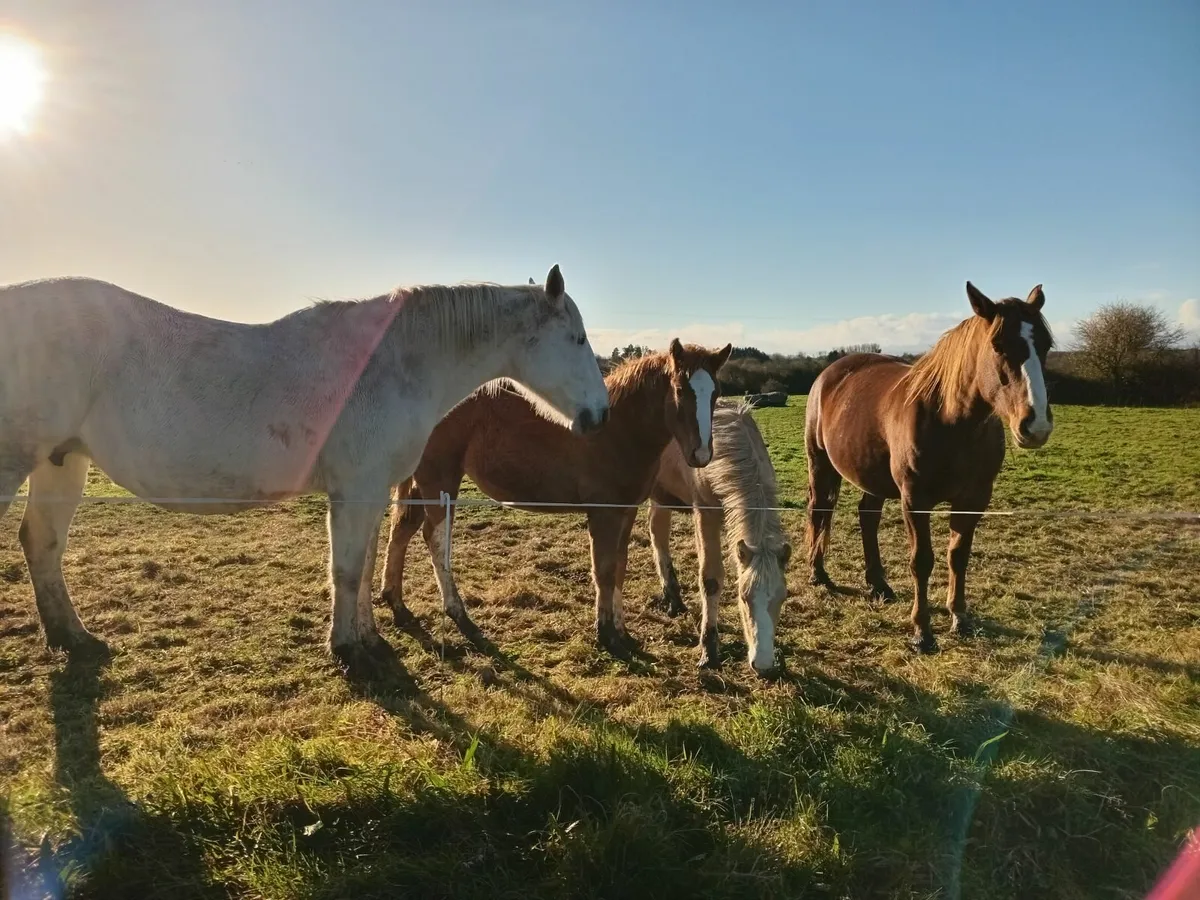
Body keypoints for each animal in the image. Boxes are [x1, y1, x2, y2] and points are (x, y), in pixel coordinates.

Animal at [0, 265, 610, 673]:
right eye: (577, 337)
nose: (599, 415)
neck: (391, 362)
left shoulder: (371, 490)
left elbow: (363, 564)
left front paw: (369, 639)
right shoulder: (355, 488)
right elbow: (346, 569)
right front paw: (346, 650)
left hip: (61, 463)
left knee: (43, 544)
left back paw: (73, 638)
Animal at [379, 340, 733, 657]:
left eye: (715, 393)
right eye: (680, 390)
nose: (701, 455)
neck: (618, 430)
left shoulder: (626, 509)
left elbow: (620, 566)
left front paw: (622, 632)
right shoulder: (603, 512)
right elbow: (604, 570)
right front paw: (607, 636)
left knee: (403, 530)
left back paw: (396, 603)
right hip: (441, 480)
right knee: (435, 540)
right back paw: (462, 618)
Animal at [647, 401, 791, 676]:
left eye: (782, 597)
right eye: (743, 598)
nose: (764, 665)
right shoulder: (705, 513)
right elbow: (711, 580)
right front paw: (709, 652)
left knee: (658, 532)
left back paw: (673, 599)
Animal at [804, 282, 1055, 653]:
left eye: (1045, 345)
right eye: (998, 345)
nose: (1035, 425)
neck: (952, 421)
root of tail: (830, 373)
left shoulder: (973, 500)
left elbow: (958, 556)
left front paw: (960, 618)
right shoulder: (915, 500)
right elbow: (921, 561)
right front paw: (922, 632)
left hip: (872, 477)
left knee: (867, 517)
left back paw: (878, 584)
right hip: (821, 465)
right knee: (819, 512)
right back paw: (818, 573)